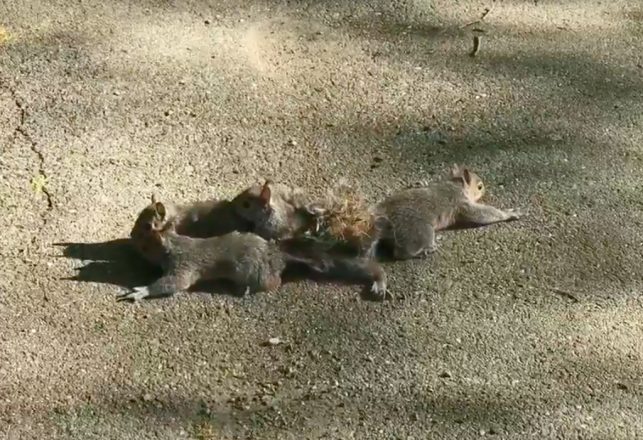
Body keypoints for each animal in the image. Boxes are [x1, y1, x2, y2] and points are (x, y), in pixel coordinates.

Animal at [121, 201, 392, 300]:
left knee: (274, 282)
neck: (172, 243)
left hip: (254, 270)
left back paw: (248, 289)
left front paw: (141, 291)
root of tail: (278, 256)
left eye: (145, 231)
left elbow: (174, 283)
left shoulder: (184, 263)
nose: (131, 237)